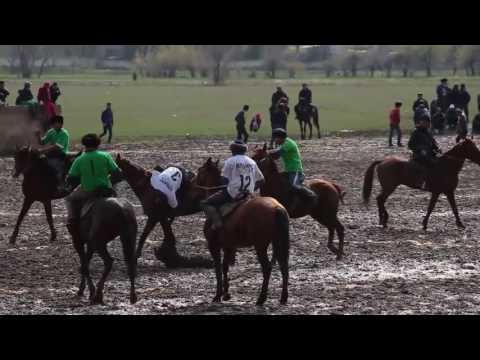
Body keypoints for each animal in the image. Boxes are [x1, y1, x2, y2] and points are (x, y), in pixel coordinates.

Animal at [195, 159, 288, 306]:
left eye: (200, 170)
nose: (193, 181)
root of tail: (276, 208)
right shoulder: (228, 246)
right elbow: (225, 267)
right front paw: (226, 294)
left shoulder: (214, 246)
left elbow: (218, 268)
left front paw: (217, 295)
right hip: (278, 243)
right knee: (283, 266)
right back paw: (283, 298)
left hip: (260, 246)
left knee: (267, 268)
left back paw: (261, 298)